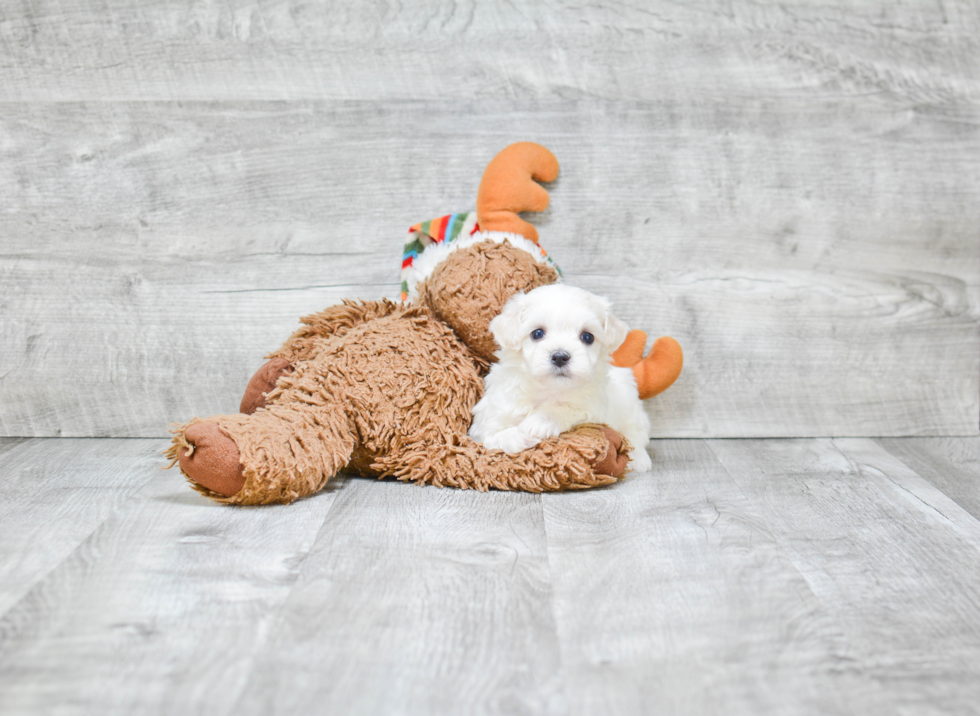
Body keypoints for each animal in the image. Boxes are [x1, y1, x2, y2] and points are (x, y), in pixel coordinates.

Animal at [470, 282, 656, 472]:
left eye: (587, 337)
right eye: (537, 333)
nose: (560, 356)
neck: (549, 388)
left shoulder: (592, 407)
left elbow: (565, 407)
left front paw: (538, 422)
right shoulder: (489, 419)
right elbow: (493, 437)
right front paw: (519, 435)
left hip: (630, 405)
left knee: (636, 434)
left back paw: (639, 458)